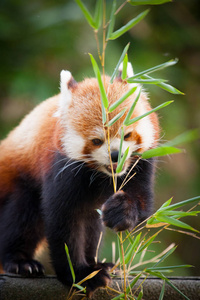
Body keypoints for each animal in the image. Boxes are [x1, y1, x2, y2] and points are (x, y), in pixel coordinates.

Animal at [0, 63, 159, 296]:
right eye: (97, 141)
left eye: (127, 135)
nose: (116, 155)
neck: (102, 174)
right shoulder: (61, 168)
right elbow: (64, 222)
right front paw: (79, 275)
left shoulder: (141, 163)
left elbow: (141, 201)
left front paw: (122, 210)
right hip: (20, 180)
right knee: (22, 217)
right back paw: (21, 262)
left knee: (91, 222)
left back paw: (98, 263)